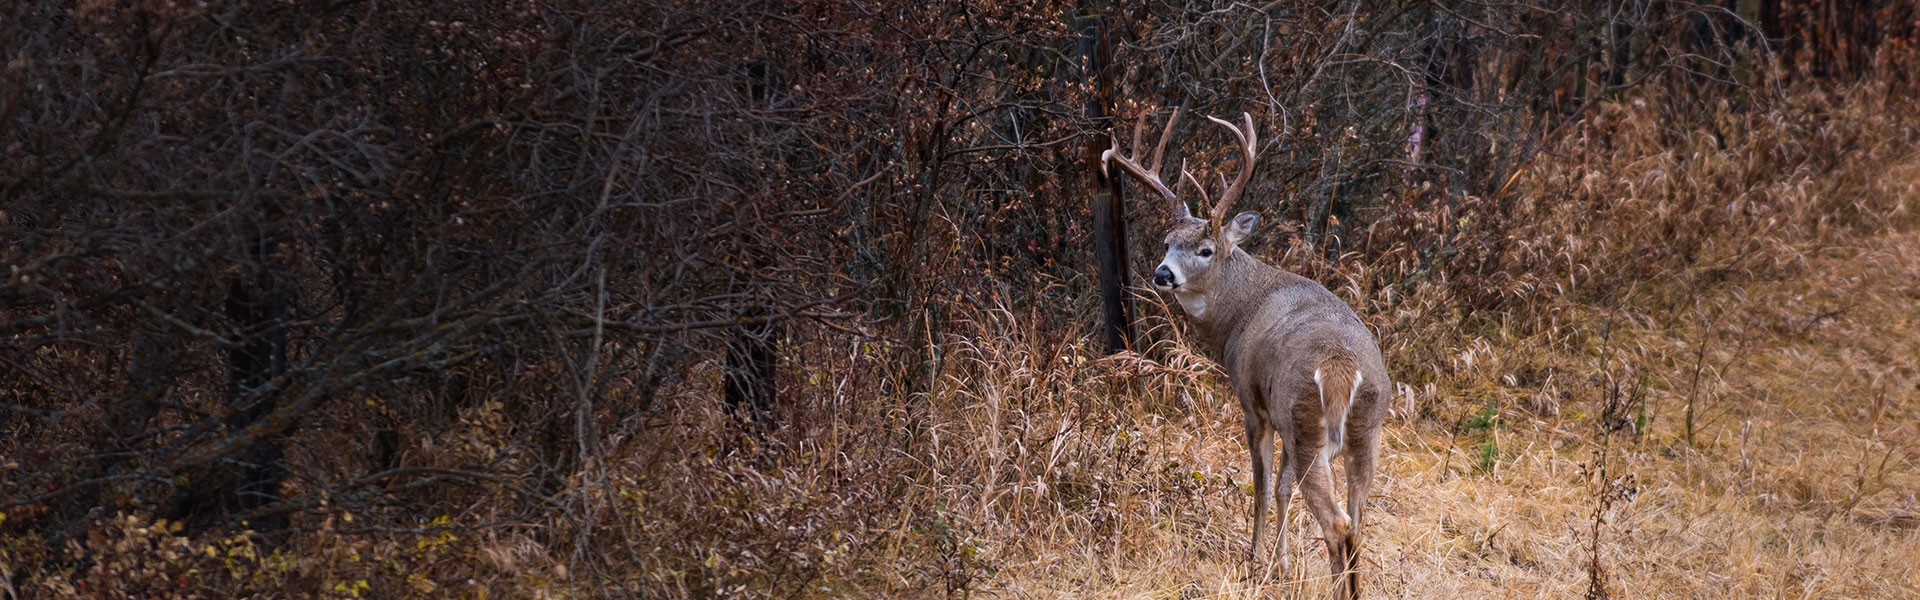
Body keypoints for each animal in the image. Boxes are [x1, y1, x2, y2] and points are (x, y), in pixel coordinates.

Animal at [1105, 109, 1390, 600]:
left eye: (1204, 250)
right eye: (1166, 242)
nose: (1162, 274)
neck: (1240, 311)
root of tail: (1342, 370)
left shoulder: (1254, 404)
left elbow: (1261, 485)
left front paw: (1257, 561)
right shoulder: (1283, 417)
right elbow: (1283, 488)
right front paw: (1282, 561)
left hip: (1305, 421)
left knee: (1337, 522)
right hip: (1364, 429)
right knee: (1357, 519)